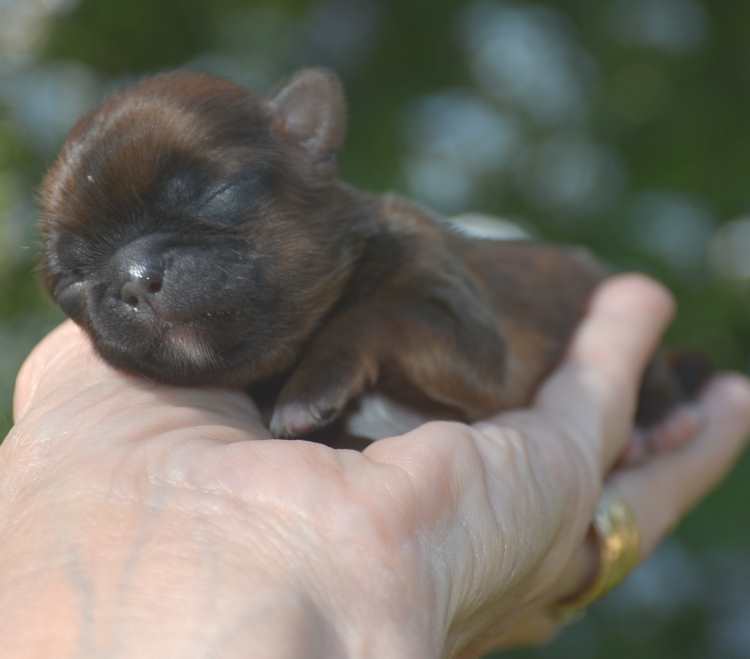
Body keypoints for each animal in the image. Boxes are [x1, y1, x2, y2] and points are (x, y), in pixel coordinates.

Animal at [36, 69, 712, 444]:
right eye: (72, 283)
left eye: (216, 195)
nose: (133, 278)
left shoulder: (475, 345)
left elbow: (373, 314)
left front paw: (312, 387)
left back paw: (662, 420)